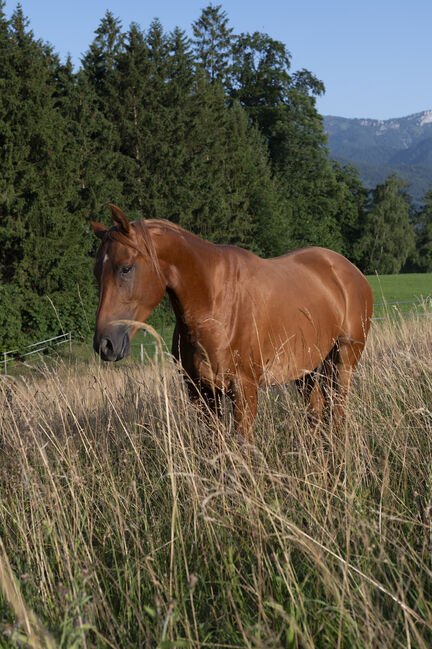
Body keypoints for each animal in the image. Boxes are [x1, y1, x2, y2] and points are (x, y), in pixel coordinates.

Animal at [93, 205, 372, 438]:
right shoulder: (201, 394)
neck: (215, 306)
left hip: (342, 364)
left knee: (336, 415)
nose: (105, 344)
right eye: (97, 272)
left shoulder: (244, 391)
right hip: (307, 371)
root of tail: (349, 270)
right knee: (316, 415)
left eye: (126, 268)